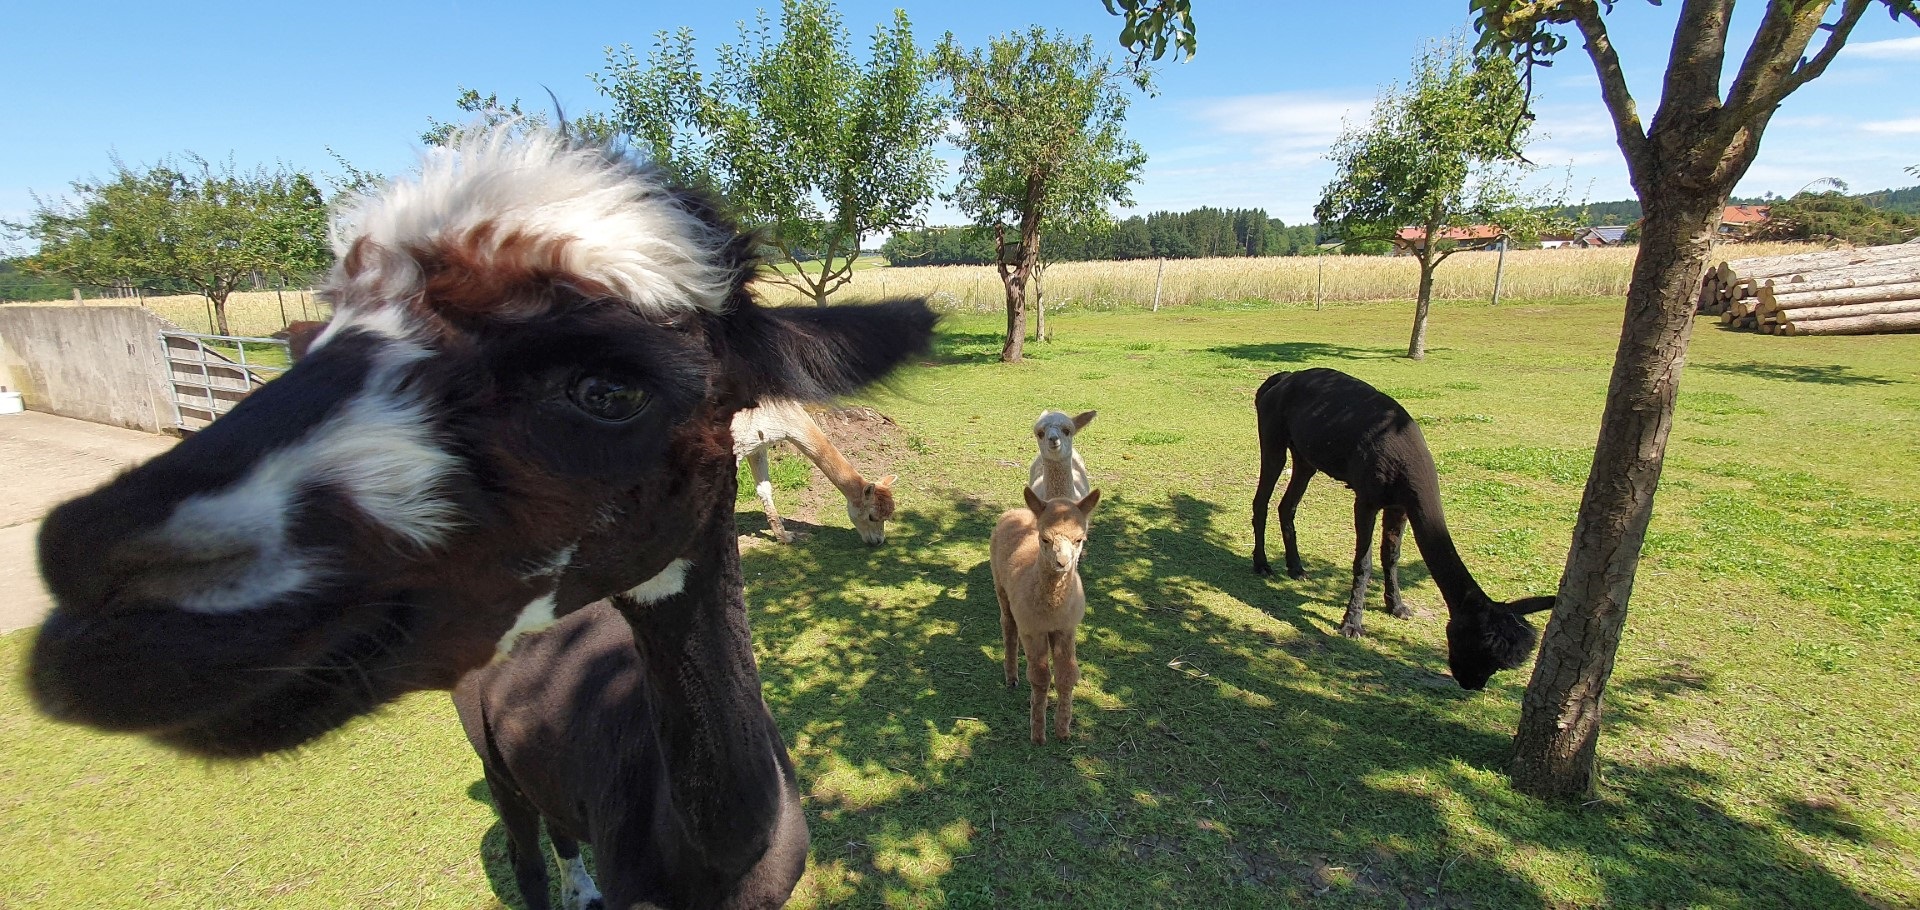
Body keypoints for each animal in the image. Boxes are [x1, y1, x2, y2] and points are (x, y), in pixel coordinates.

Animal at [1250, 368, 1554, 690]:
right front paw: (1352, 624)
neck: (1407, 463)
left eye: (1499, 664)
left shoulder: (1400, 504)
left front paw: (1397, 606)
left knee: (1287, 505)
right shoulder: (1367, 496)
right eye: (1475, 644)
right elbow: (1364, 562)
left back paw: (1296, 568)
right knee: (1262, 500)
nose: (1471, 683)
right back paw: (1262, 564)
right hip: (1272, 435)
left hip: (1306, 455)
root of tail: (1281, 379)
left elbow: (1391, 555)